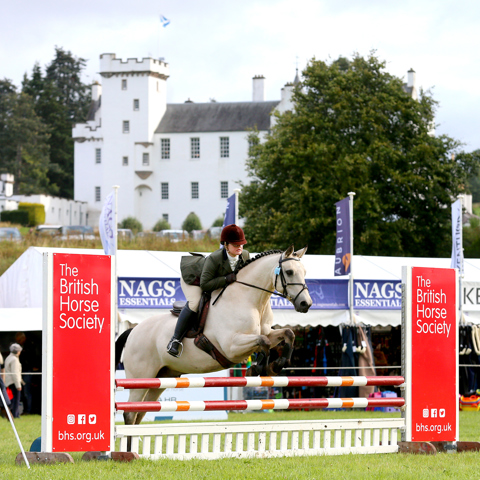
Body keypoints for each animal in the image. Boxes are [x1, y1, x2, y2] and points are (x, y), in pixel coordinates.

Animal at [116, 246, 312, 426]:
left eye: (304, 272)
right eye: (289, 272)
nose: (306, 304)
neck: (250, 301)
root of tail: (133, 331)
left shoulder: (267, 334)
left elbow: (287, 333)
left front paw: (276, 365)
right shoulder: (232, 347)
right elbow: (262, 342)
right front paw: (257, 369)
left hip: (162, 378)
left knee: (139, 413)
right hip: (140, 379)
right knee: (130, 413)